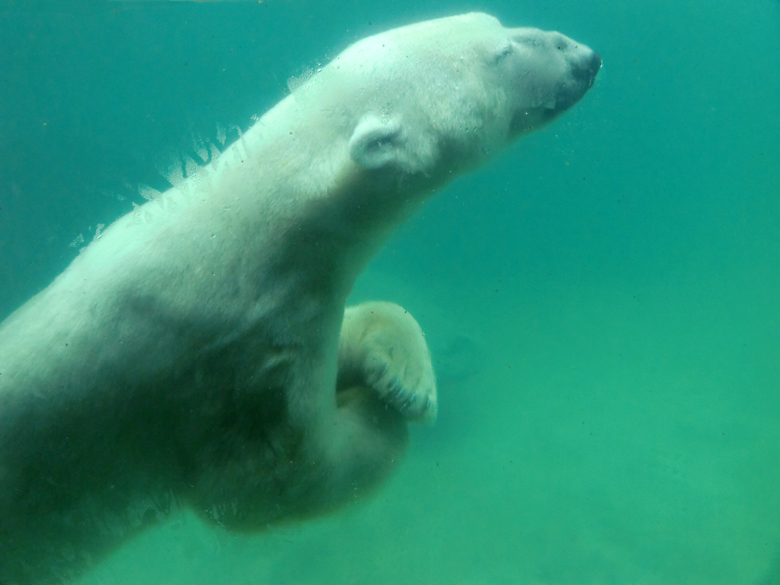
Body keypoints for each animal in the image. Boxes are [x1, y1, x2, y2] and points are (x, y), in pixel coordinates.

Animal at [0, 11, 600, 580]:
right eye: (501, 53)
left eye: (492, 22)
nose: (585, 56)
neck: (249, 236)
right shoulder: (219, 375)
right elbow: (277, 481)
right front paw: (386, 409)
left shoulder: (292, 319)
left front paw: (402, 376)